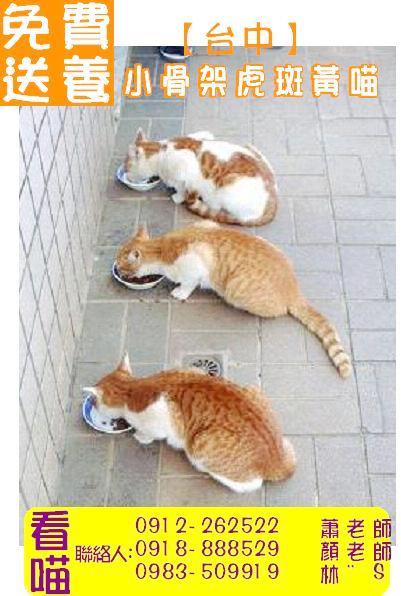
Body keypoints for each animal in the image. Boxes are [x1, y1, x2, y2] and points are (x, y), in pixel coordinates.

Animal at [84, 353, 296, 492]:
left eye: (95, 401)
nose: (92, 404)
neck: (132, 389)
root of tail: (278, 462)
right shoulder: (193, 370)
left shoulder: (159, 421)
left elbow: (150, 434)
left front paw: (140, 436)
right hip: (254, 391)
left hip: (199, 446)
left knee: (249, 483)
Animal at [116, 222, 352, 378]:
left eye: (120, 262)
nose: (116, 267)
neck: (162, 246)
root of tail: (293, 289)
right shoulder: (207, 224)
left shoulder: (195, 266)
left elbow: (189, 284)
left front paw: (180, 292)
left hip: (235, 289)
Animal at [124, 128, 278, 226]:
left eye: (126, 167)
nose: (125, 174)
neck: (162, 152)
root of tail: (273, 201)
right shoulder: (203, 134)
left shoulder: (187, 167)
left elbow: (182, 187)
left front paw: (177, 196)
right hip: (253, 149)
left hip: (227, 185)